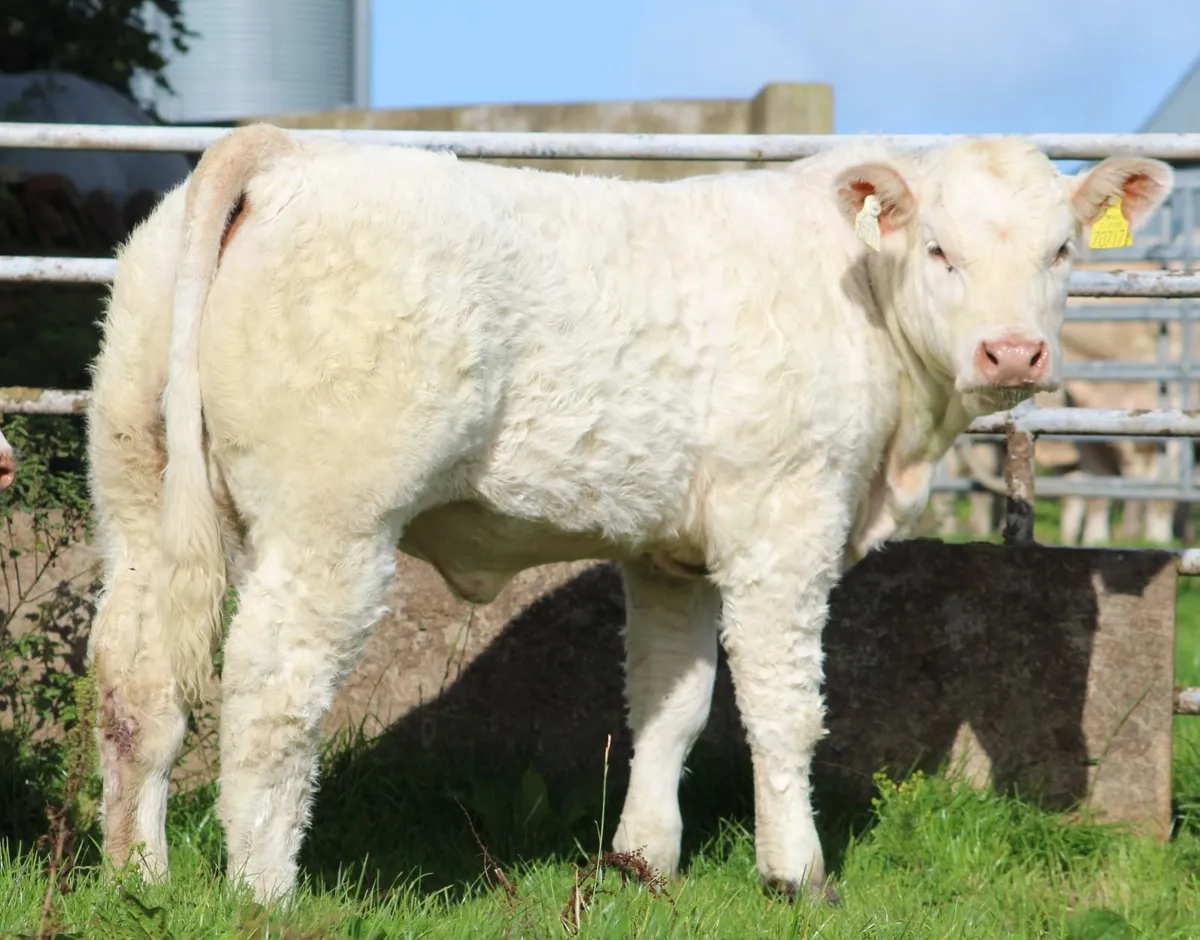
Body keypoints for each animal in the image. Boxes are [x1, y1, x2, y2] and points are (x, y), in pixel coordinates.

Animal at [85, 124, 1173, 905]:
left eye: (1063, 249)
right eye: (941, 250)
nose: (1013, 352)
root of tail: (285, 149)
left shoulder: (669, 555)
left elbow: (670, 705)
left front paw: (644, 858)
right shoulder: (784, 522)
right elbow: (785, 709)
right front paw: (798, 873)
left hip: (135, 486)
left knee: (137, 678)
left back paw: (139, 874)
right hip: (331, 522)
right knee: (269, 691)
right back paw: (264, 888)